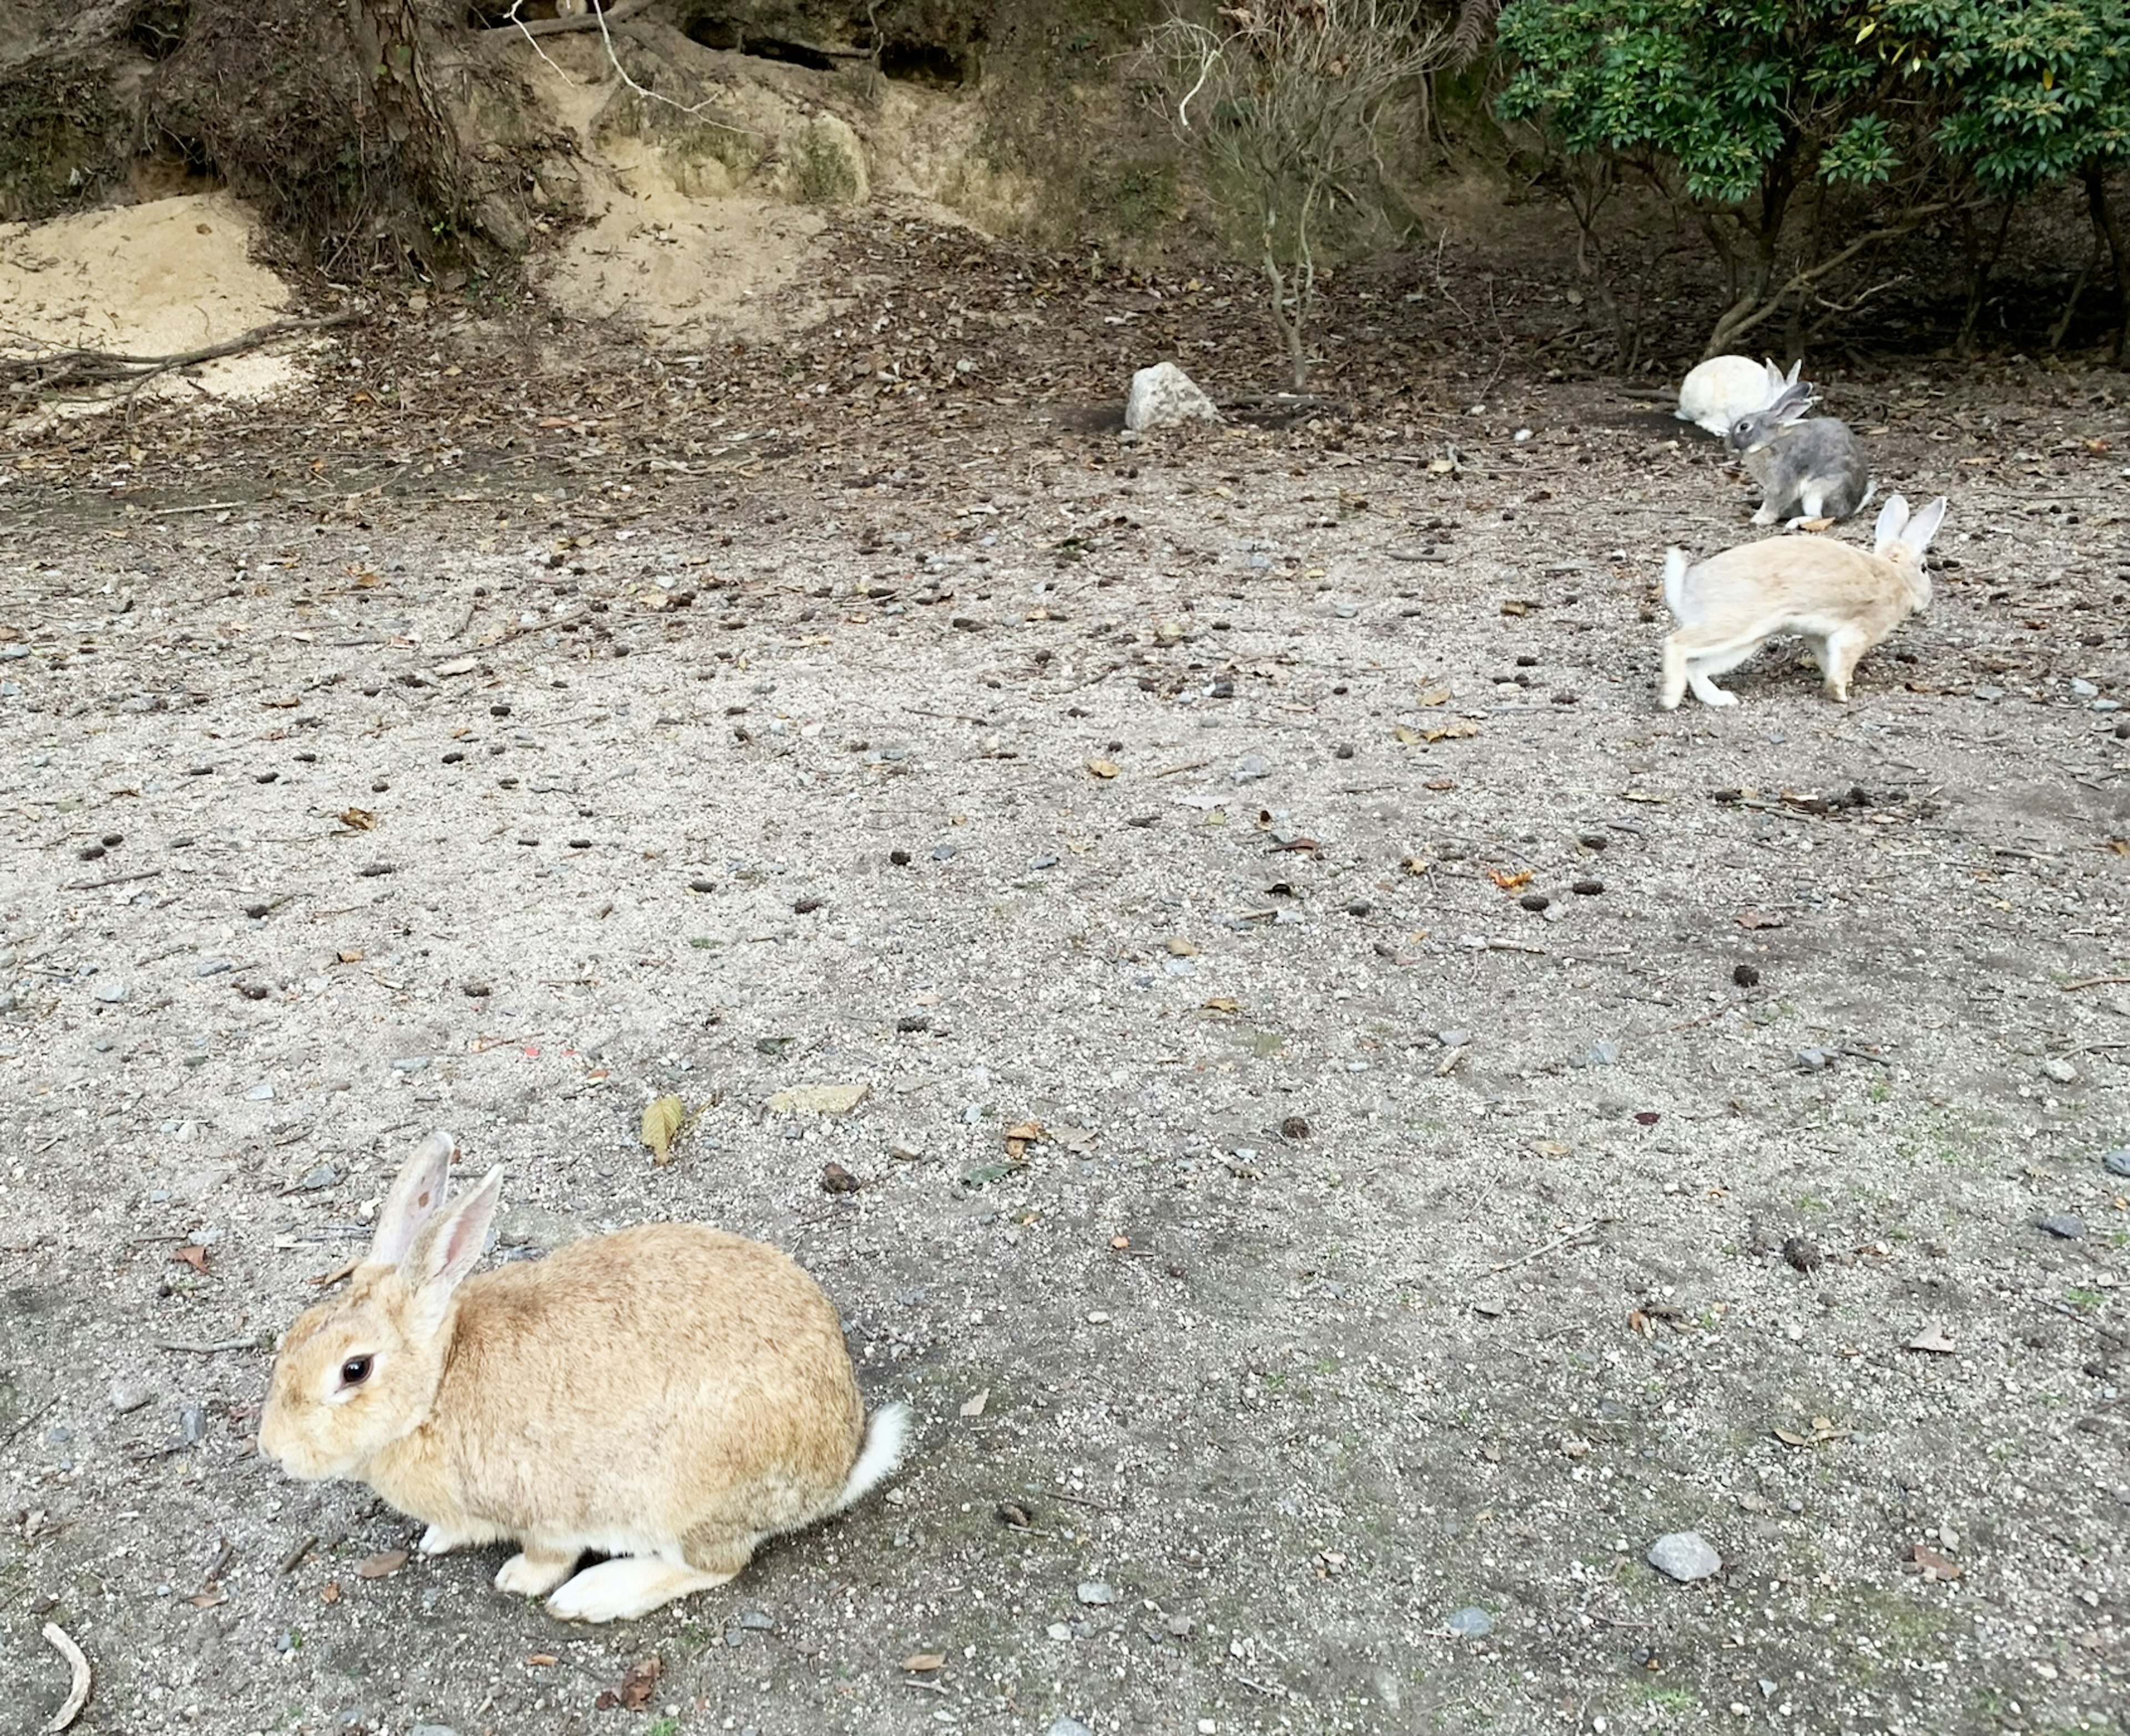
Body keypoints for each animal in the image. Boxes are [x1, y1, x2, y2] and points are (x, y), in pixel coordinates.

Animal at [257, 1133, 907, 1618]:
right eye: (293, 1335)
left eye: (355, 1370)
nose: (273, 1451)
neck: (435, 1388)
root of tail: (839, 1463)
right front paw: (438, 1539)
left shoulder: (543, 1511)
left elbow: (547, 1557)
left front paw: (518, 1579)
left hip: (682, 1498)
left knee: (716, 1566)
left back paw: (594, 1596)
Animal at [1661, 492, 1951, 711]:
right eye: (1924, 568)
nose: (1927, 599)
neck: (1895, 573)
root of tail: (1686, 591)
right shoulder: (1859, 630)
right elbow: (1843, 662)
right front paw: (1840, 694)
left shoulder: (1821, 636)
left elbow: (1828, 659)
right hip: (1734, 623)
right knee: (1676, 644)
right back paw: (1670, 699)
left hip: (1745, 641)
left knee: (1696, 667)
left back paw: (1721, 699)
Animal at [1721, 387, 1874, 530]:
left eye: (1744, 426)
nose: (1727, 444)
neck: (1767, 444)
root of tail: (1851, 509)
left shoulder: (1782, 481)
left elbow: (1773, 503)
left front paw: (1759, 520)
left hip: (1817, 494)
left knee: (1822, 517)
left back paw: (1794, 522)